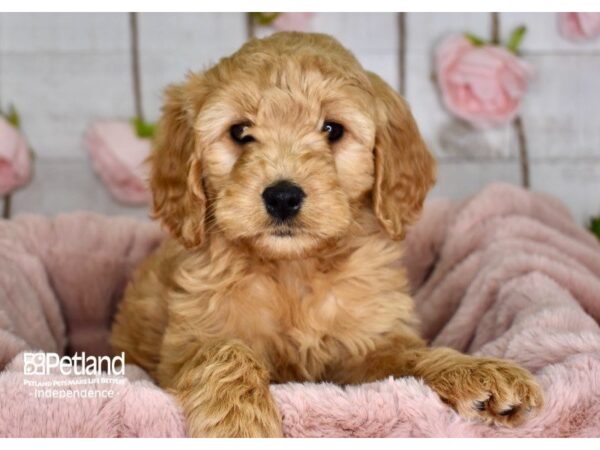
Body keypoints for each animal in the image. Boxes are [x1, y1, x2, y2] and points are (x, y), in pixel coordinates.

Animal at [109, 30, 544, 436]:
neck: (293, 269)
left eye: (332, 129)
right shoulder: (188, 340)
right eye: (240, 132)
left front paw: (478, 371)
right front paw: (239, 422)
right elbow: (224, 351)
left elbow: (410, 356)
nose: (283, 196)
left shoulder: (369, 343)